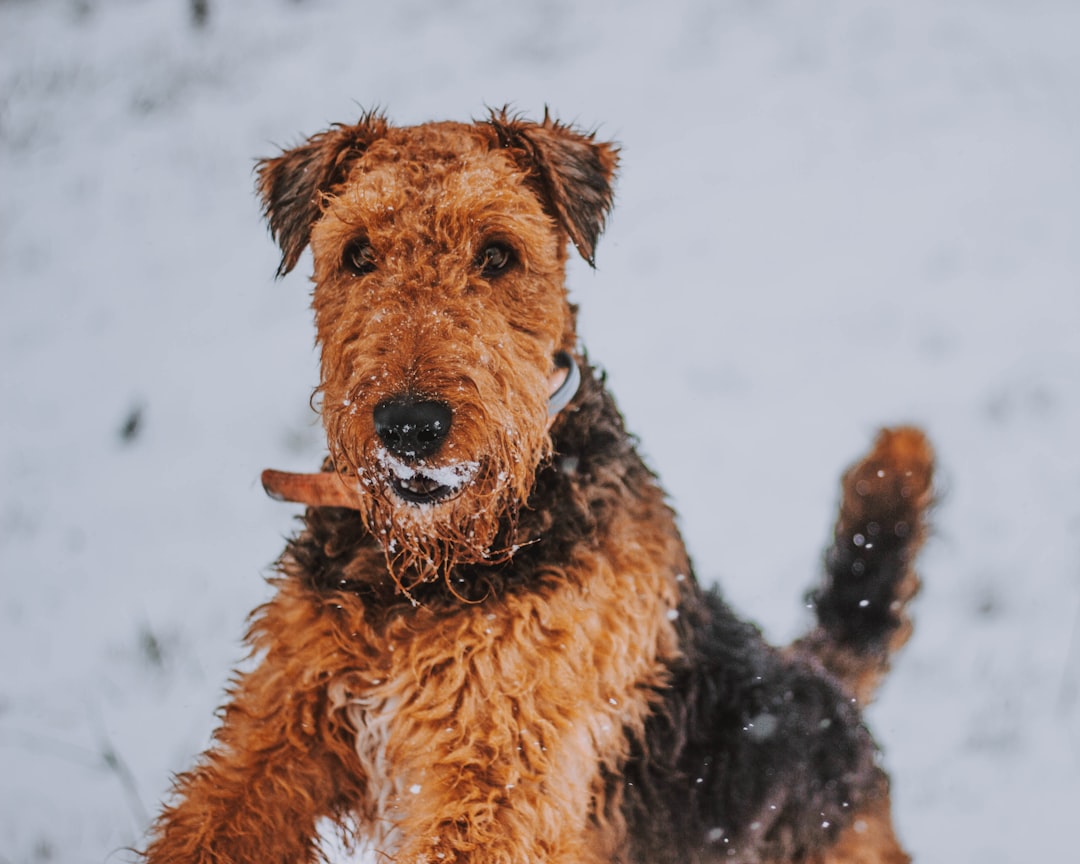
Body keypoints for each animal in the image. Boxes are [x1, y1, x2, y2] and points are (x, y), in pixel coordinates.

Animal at [143, 108, 933, 864]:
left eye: (498, 253)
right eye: (357, 254)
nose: (409, 426)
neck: (427, 580)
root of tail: (825, 684)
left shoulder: (498, 778)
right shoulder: (279, 726)